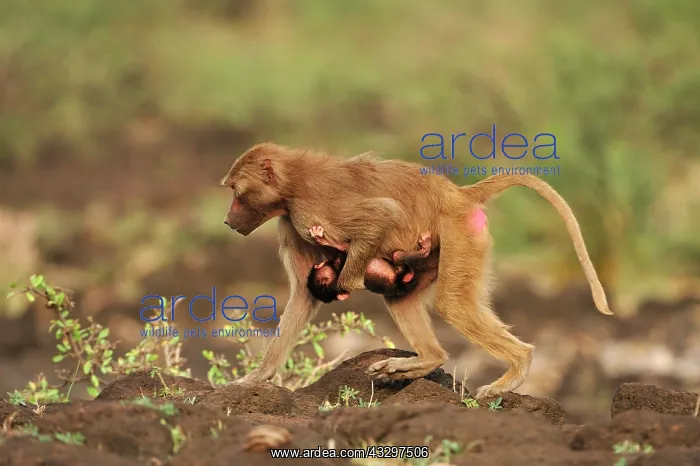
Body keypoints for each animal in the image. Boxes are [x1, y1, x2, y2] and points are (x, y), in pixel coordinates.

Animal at [221, 142, 612, 400]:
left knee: (452, 306)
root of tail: (457, 195)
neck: (292, 184)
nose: (227, 221)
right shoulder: (291, 223)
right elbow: (303, 296)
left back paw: (515, 368)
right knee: (401, 298)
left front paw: (346, 279)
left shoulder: (309, 209)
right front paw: (256, 379)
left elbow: (382, 214)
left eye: (237, 193)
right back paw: (424, 361)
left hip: (459, 234)